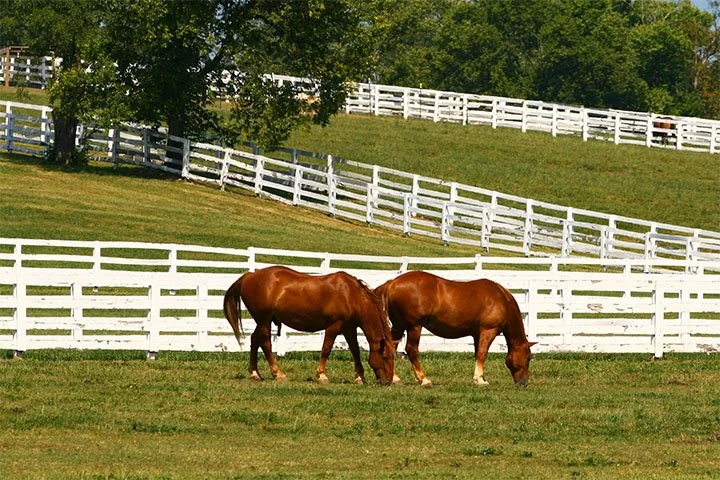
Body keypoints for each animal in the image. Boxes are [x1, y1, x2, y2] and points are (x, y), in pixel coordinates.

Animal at [223, 266, 395, 385]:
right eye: (385, 356)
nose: (388, 381)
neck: (350, 294)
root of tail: (250, 276)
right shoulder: (334, 327)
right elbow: (326, 349)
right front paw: (321, 375)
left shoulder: (349, 328)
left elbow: (355, 351)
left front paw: (359, 377)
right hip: (264, 320)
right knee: (265, 343)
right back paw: (277, 373)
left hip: (261, 321)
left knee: (254, 340)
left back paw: (255, 373)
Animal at [375, 271, 536, 387]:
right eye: (528, 358)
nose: (524, 383)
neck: (501, 299)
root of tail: (392, 283)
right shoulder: (488, 331)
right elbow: (482, 354)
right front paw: (479, 380)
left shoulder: (477, 334)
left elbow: (477, 354)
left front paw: (481, 378)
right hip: (414, 327)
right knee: (411, 350)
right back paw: (424, 379)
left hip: (398, 326)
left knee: (391, 348)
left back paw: (395, 378)